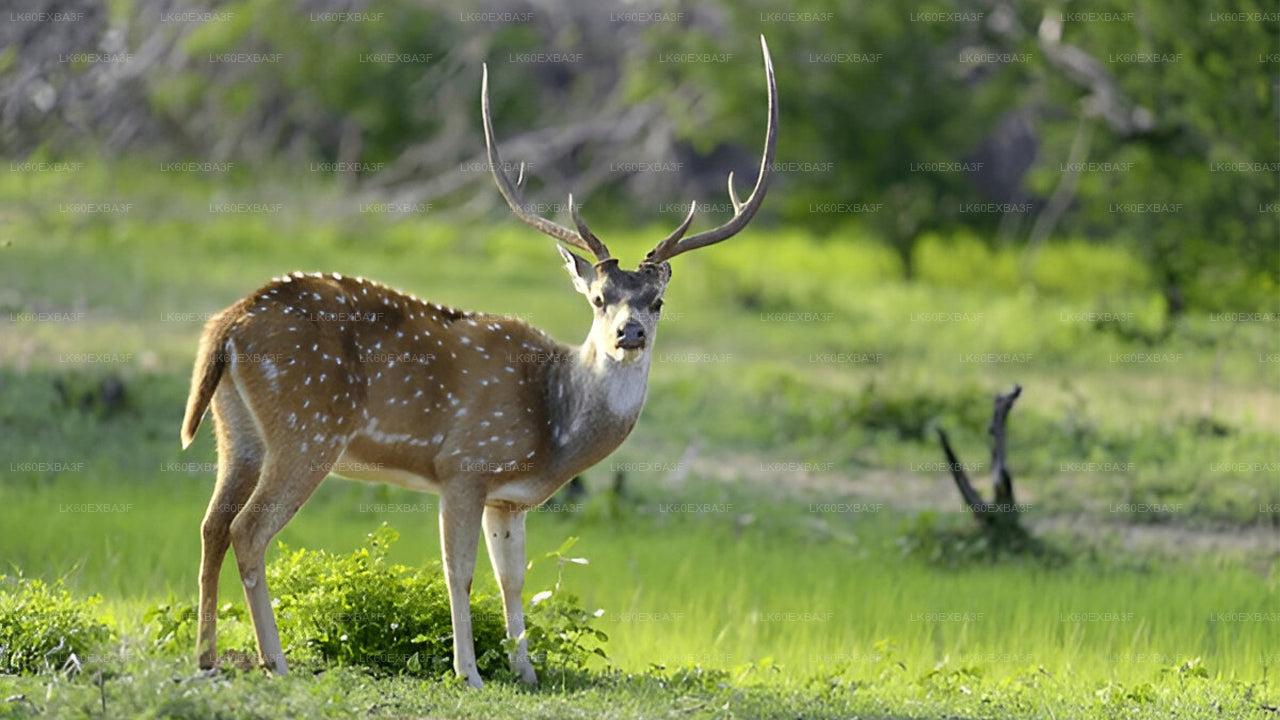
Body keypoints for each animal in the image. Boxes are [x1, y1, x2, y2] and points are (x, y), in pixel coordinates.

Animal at [180, 36, 776, 689]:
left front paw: (527, 671)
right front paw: (469, 672)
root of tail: (227, 324)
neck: (552, 423)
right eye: (599, 298)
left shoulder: (506, 496)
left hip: (235, 428)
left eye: (657, 300)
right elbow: (458, 572)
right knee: (248, 529)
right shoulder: (464, 464)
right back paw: (275, 660)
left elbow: (512, 578)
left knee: (211, 524)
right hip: (308, 426)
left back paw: (207, 655)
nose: (630, 333)